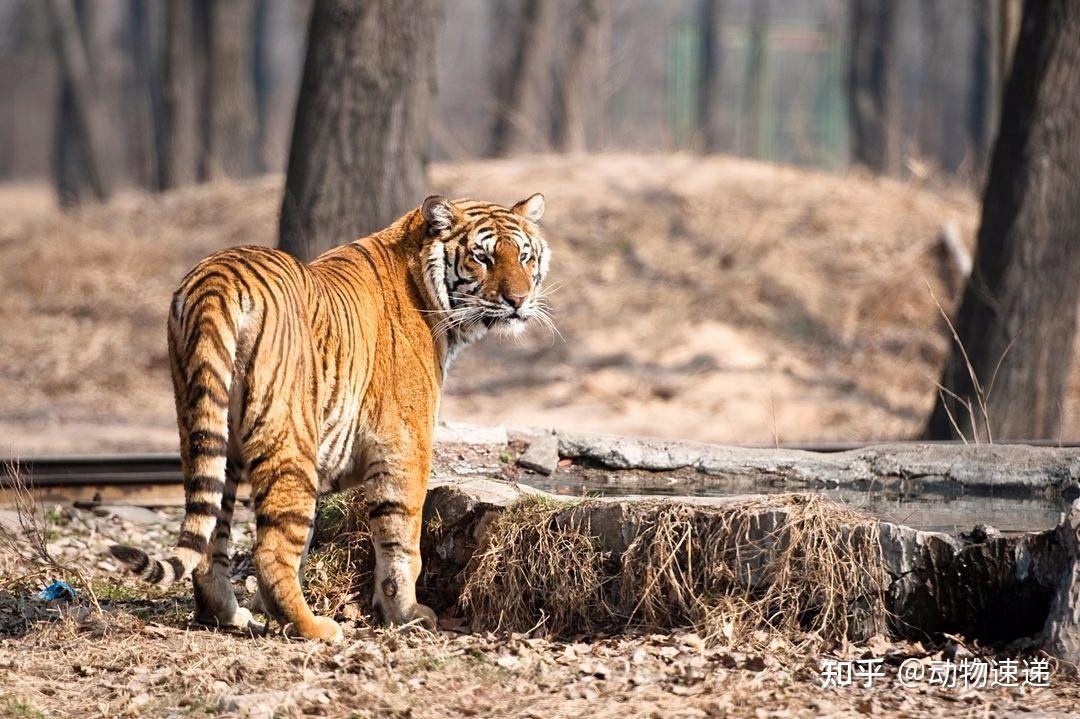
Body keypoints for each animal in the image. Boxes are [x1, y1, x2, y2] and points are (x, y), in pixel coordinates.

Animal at [109, 192, 548, 639]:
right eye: (483, 257)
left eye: (524, 256)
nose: (518, 300)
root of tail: (218, 277)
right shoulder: (406, 444)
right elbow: (401, 539)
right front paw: (407, 615)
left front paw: (266, 607)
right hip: (289, 439)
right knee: (269, 551)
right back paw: (315, 628)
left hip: (207, 431)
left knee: (212, 538)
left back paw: (231, 616)